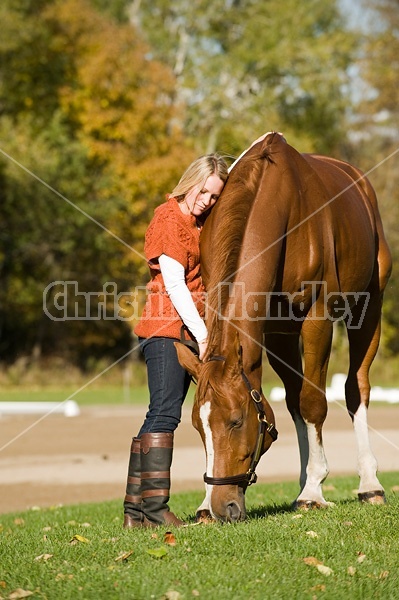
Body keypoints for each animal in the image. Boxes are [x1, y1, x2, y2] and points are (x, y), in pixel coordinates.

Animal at [177, 131, 392, 520]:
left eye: (236, 420)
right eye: (199, 426)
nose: (221, 506)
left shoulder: (318, 320)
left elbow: (314, 402)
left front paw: (314, 491)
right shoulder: (272, 331)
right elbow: (296, 403)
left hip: (369, 310)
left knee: (356, 390)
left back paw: (369, 484)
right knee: (294, 400)